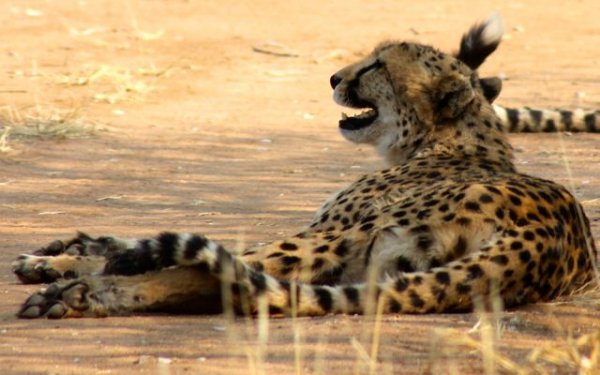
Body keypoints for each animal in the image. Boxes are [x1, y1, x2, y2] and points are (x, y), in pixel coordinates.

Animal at [12, 16, 596, 318]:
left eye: (378, 64)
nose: (335, 77)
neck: (447, 141)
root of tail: (544, 241)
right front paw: (66, 249)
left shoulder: (328, 228)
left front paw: (64, 261)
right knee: (230, 283)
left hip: (341, 241)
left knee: (215, 272)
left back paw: (83, 293)